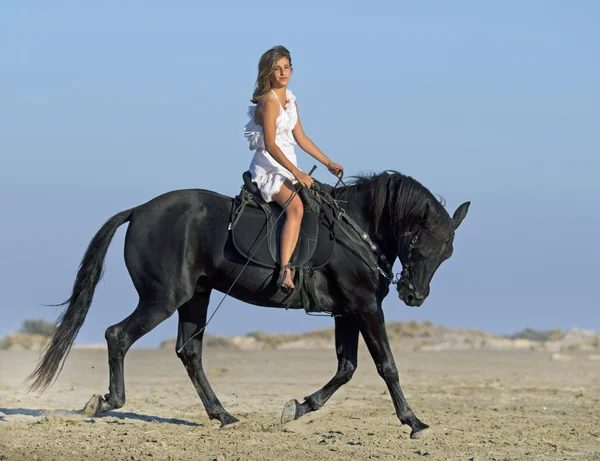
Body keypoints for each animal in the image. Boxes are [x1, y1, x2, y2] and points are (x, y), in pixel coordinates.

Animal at [28, 171, 468, 436]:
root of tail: (139, 211)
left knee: (189, 352)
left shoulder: (347, 311)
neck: (357, 230)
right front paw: (413, 421)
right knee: (117, 335)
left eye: (447, 253)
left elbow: (346, 369)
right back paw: (107, 401)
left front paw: (298, 407)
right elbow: (386, 366)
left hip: (195, 297)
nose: (414, 296)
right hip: (162, 299)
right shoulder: (364, 307)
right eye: (418, 242)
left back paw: (221, 414)